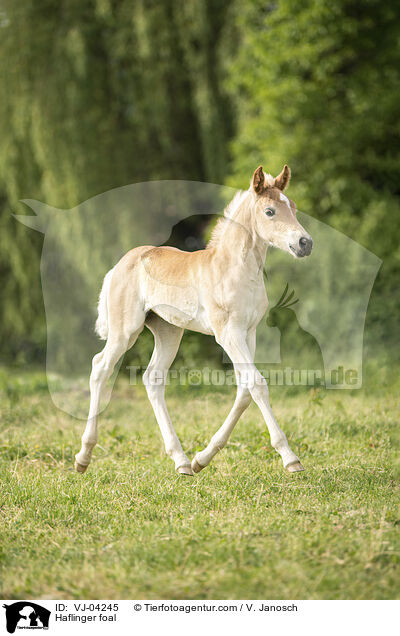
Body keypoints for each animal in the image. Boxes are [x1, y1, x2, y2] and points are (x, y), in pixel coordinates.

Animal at [75, 164, 312, 476]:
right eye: (270, 211)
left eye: (293, 207)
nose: (305, 243)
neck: (234, 269)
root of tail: (120, 264)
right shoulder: (228, 333)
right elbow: (257, 384)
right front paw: (290, 457)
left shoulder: (248, 332)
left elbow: (244, 389)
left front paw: (203, 458)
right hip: (125, 331)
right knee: (100, 368)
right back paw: (83, 456)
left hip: (168, 330)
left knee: (153, 378)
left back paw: (182, 461)